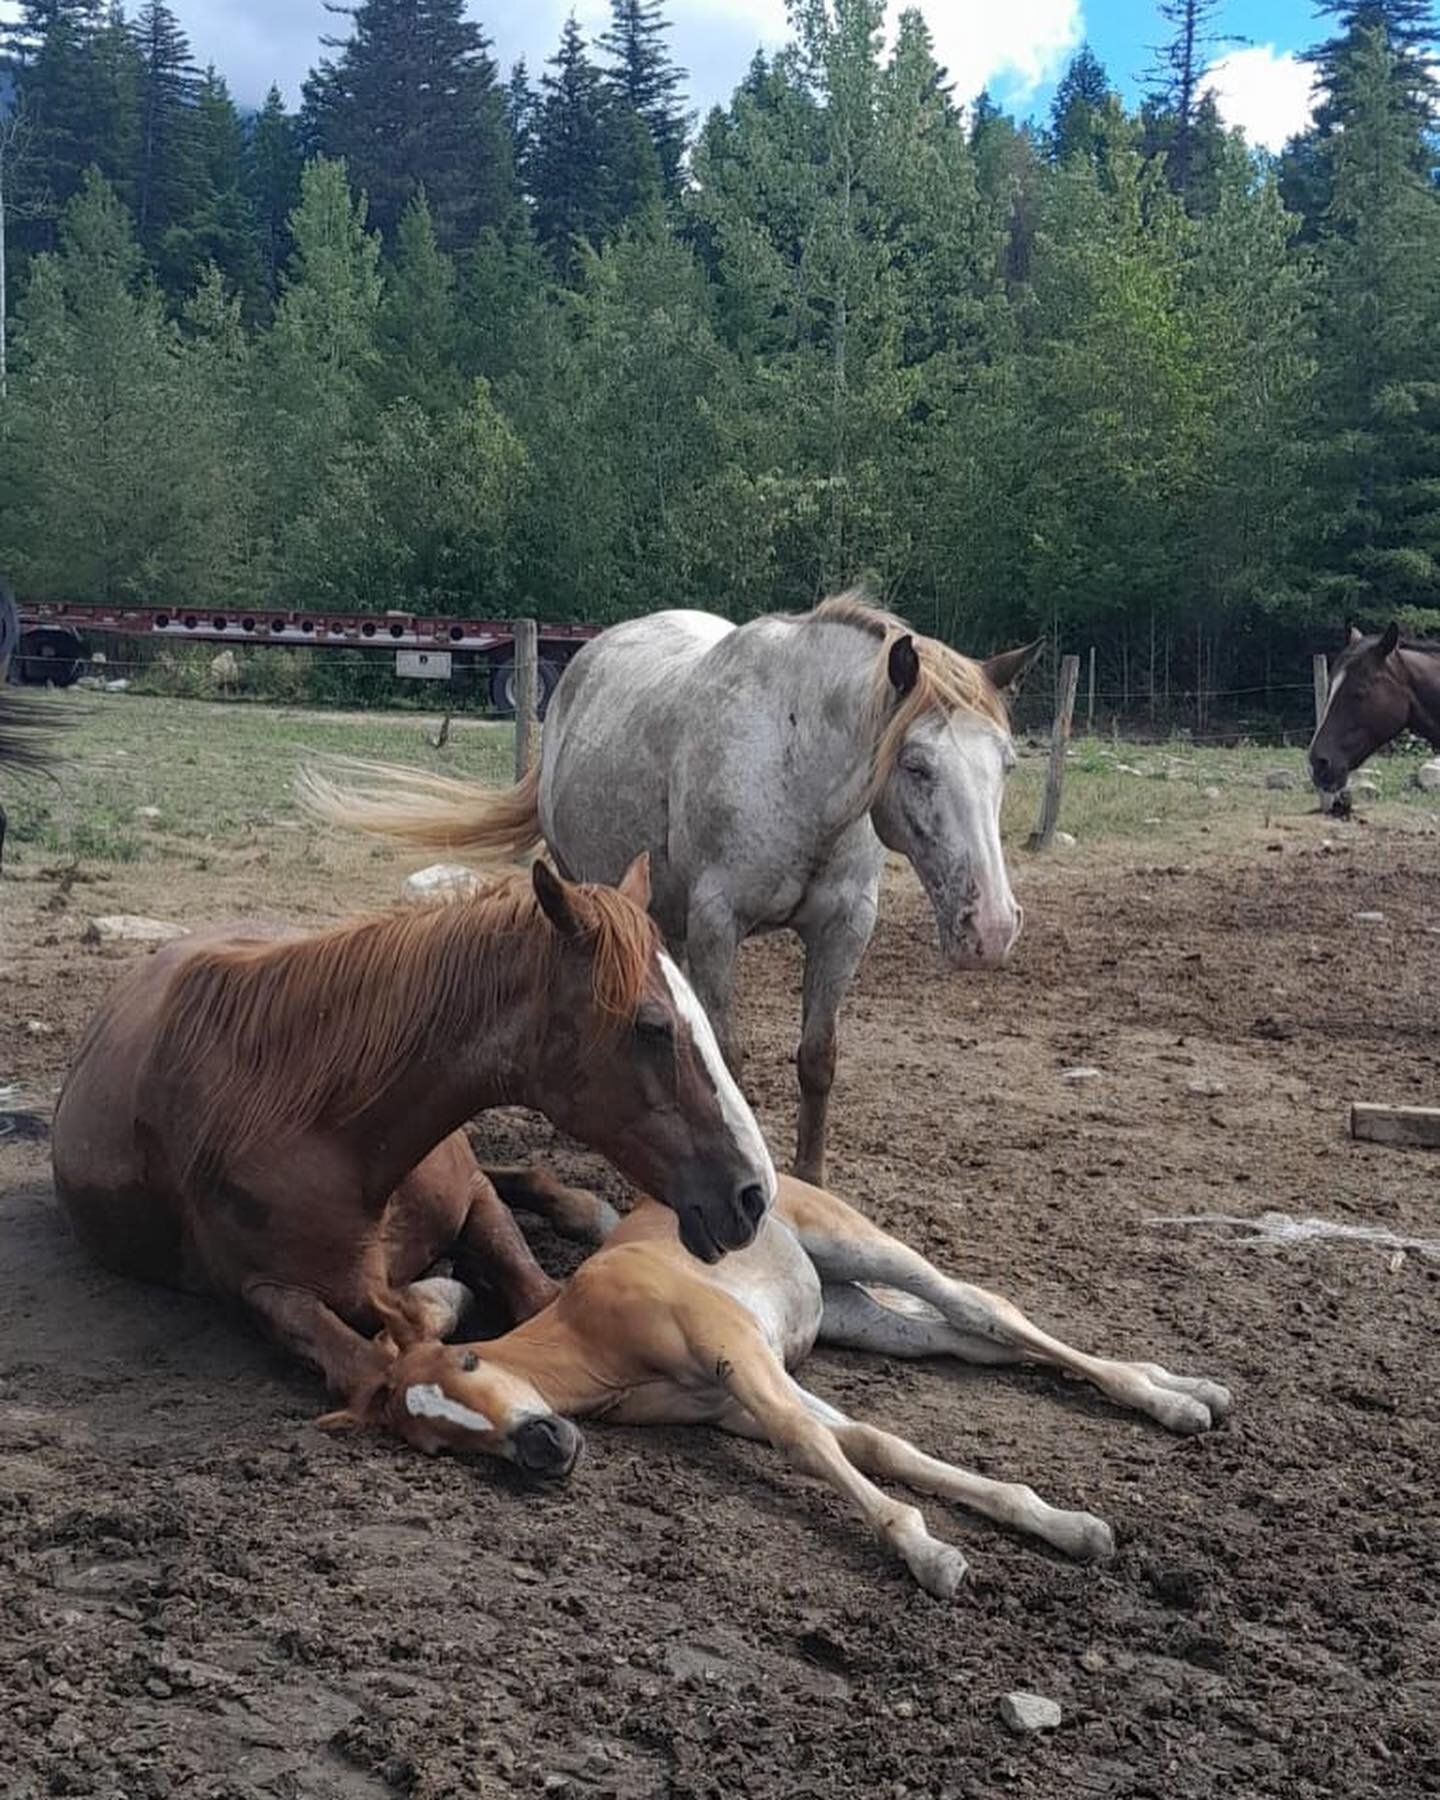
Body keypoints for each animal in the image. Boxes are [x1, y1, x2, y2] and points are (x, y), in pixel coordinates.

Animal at [50, 856, 777, 1404]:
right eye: (651, 1026)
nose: (753, 1195)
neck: (336, 1138)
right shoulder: (266, 1292)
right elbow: (375, 1364)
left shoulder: (472, 1199)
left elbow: (532, 1283)